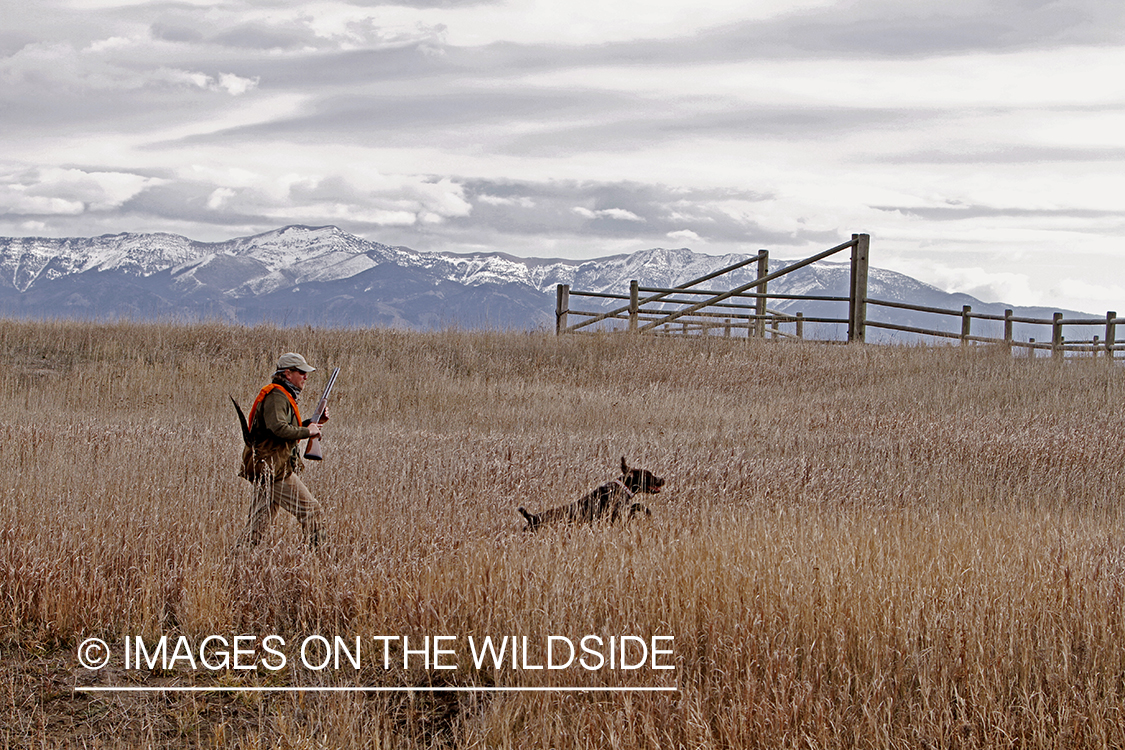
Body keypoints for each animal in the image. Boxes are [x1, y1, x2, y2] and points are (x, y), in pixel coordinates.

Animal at [519, 461, 666, 530]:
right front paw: (647, 512)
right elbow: (636, 506)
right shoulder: (616, 514)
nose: (663, 479)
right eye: (649, 475)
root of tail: (531, 517)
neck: (621, 488)